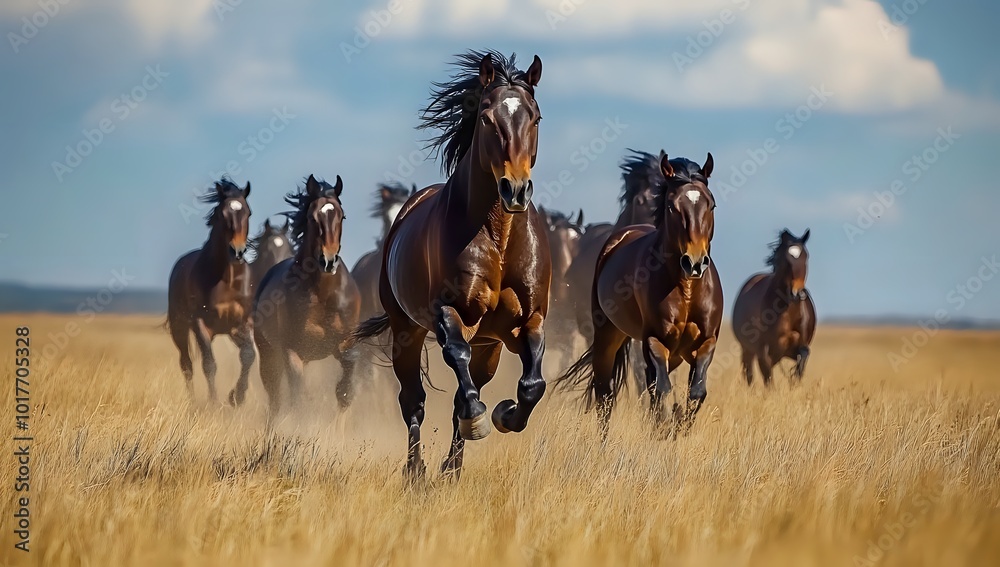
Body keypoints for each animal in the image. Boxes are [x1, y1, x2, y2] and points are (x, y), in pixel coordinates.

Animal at [167, 178, 255, 404]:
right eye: (222, 213)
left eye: (248, 212)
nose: (237, 251)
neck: (227, 279)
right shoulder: (200, 324)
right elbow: (209, 364)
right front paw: (214, 402)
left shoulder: (240, 324)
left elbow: (248, 355)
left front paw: (237, 396)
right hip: (180, 328)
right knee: (186, 364)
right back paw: (192, 402)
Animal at [228, 175, 362, 416]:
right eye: (312, 216)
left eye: (342, 215)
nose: (328, 261)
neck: (323, 294)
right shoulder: (292, 351)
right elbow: (297, 398)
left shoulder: (344, 345)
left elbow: (344, 390)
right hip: (269, 354)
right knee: (276, 397)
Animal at [556, 152, 723, 439]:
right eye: (672, 206)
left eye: (710, 205)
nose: (695, 262)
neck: (687, 290)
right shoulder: (654, 340)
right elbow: (660, 388)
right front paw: (663, 426)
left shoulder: (706, 342)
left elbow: (696, 392)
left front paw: (678, 425)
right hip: (607, 336)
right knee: (605, 392)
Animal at [732, 229, 816, 386]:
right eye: (786, 259)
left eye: (806, 256)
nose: (798, 293)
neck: (788, 311)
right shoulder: (764, 351)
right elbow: (768, 378)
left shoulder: (797, 347)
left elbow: (802, 360)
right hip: (747, 349)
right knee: (749, 373)